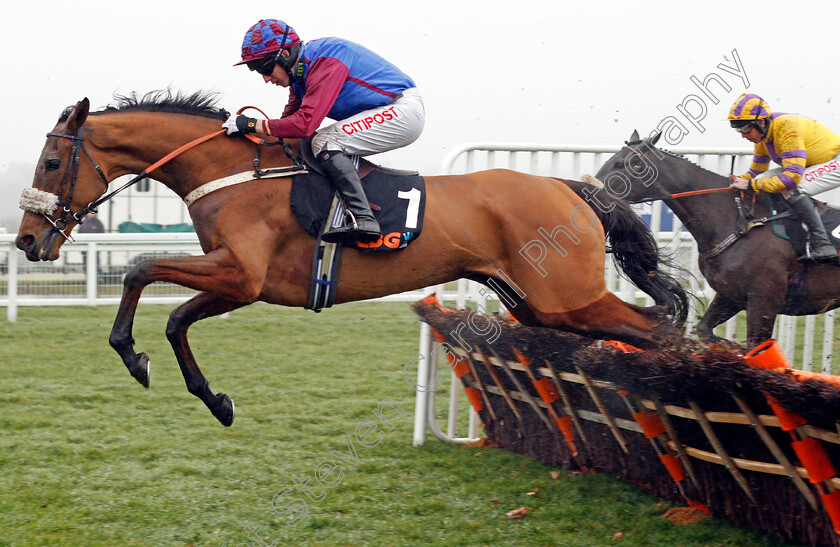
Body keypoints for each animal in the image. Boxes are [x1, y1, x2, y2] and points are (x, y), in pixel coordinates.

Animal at [16, 93, 684, 428]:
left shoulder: (241, 273)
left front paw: (133, 356)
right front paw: (213, 399)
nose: (25, 242)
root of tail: (571, 188)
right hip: (538, 304)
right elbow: (178, 319)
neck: (231, 171)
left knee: (660, 331)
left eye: (51, 162)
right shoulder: (240, 282)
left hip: (566, 297)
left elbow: (138, 269)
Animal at [592, 130, 840, 346]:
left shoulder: (764, 302)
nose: (589, 191)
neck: (740, 223)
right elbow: (705, 331)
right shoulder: (731, 295)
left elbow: (754, 347)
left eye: (620, 164)